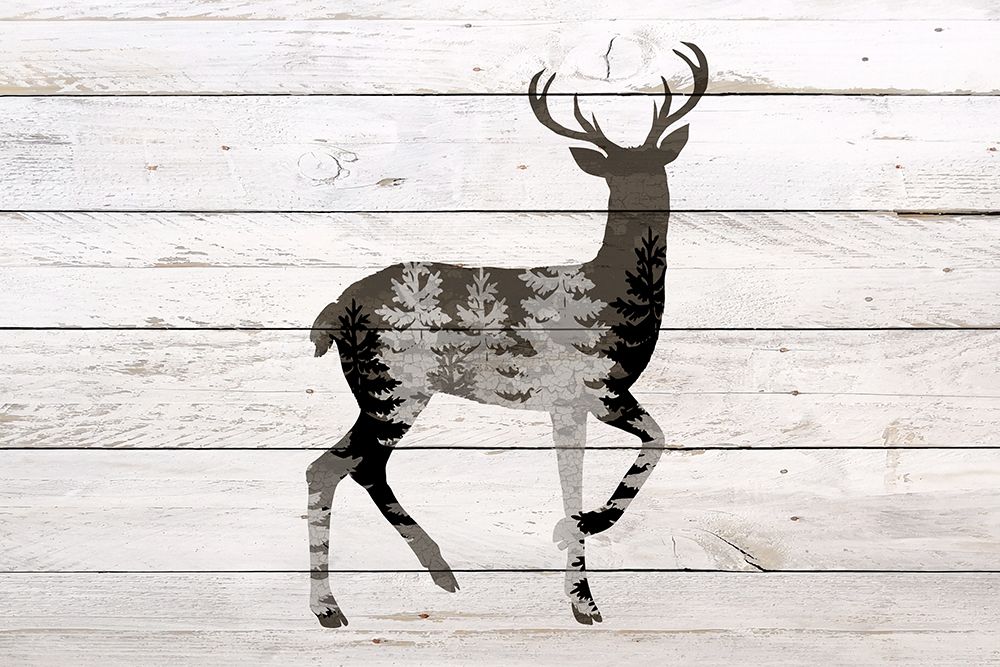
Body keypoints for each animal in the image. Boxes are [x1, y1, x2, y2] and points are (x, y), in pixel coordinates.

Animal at [306, 42, 708, 627]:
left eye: (656, 168)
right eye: (616, 174)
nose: (647, 207)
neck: (616, 297)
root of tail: (336, 308)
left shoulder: (581, 400)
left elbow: (595, 469)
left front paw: (580, 577)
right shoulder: (588, 391)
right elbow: (642, 447)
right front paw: (585, 565)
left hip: (387, 392)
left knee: (355, 467)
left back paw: (436, 574)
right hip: (393, 385)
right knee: (336, 467)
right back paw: (332, 606)